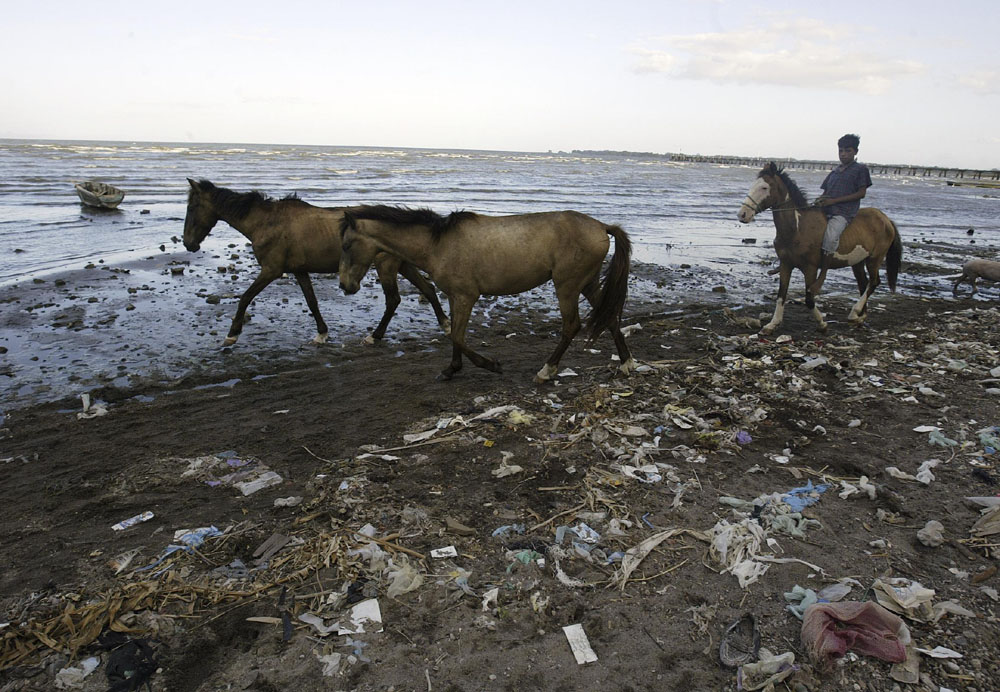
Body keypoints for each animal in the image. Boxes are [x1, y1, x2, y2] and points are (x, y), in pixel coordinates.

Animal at [182, 178, 448, 346]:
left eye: (192, 206)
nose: (188, 244)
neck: (267, 222)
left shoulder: (271, 270)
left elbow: (246, 297)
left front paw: (232, 334)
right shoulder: (299, 271)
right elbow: (312, 301)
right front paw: (322, 334)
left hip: (387, 266)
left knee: (394, 300)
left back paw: (375, 336)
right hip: (403, 264)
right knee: (427, 288)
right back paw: (445, 324)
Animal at [336, 205, 632, 382]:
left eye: (347, 244)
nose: (345, 285)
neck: (438, 244)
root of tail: (601, 226)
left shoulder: (467, 296)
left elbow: (457, 335)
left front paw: (491, 364)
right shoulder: (455, 296)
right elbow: (455, 333)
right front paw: (451, 369)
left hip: (567, 285)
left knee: (572, 326)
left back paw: (546, 370)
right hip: (588, 283)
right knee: (610, 317)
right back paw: (627, 363)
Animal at [736, 163, 908, 336]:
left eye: (764, 187)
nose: (743, 214)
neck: (797, 228)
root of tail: (886, 219)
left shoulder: (810, 269)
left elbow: (809, 298)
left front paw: (822, 323)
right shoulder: (786, 265)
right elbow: (781, 295)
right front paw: (772, 324)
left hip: (874, 258)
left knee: (873, 282)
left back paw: (854, 313)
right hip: (857, 261)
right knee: (863, 283)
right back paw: (861, 317)